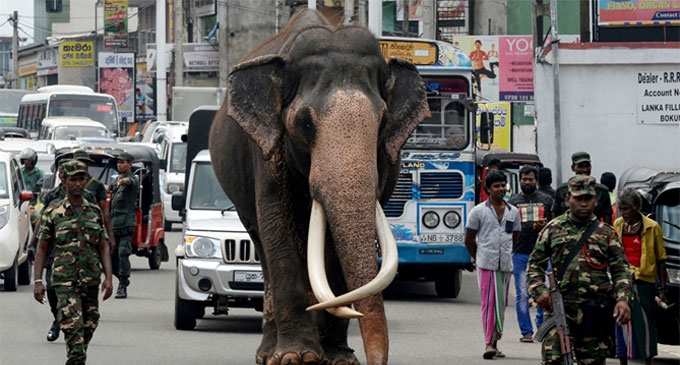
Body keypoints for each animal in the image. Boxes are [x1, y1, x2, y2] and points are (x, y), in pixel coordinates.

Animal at [209, 8, 430, 364]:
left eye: (382, 122)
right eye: (305, 123)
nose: (375, 360)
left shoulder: (385, 158)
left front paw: (339, 359)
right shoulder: (266, 151)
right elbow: (276, 227)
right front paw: (294, 357)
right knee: (262, 244)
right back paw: (268, 354)